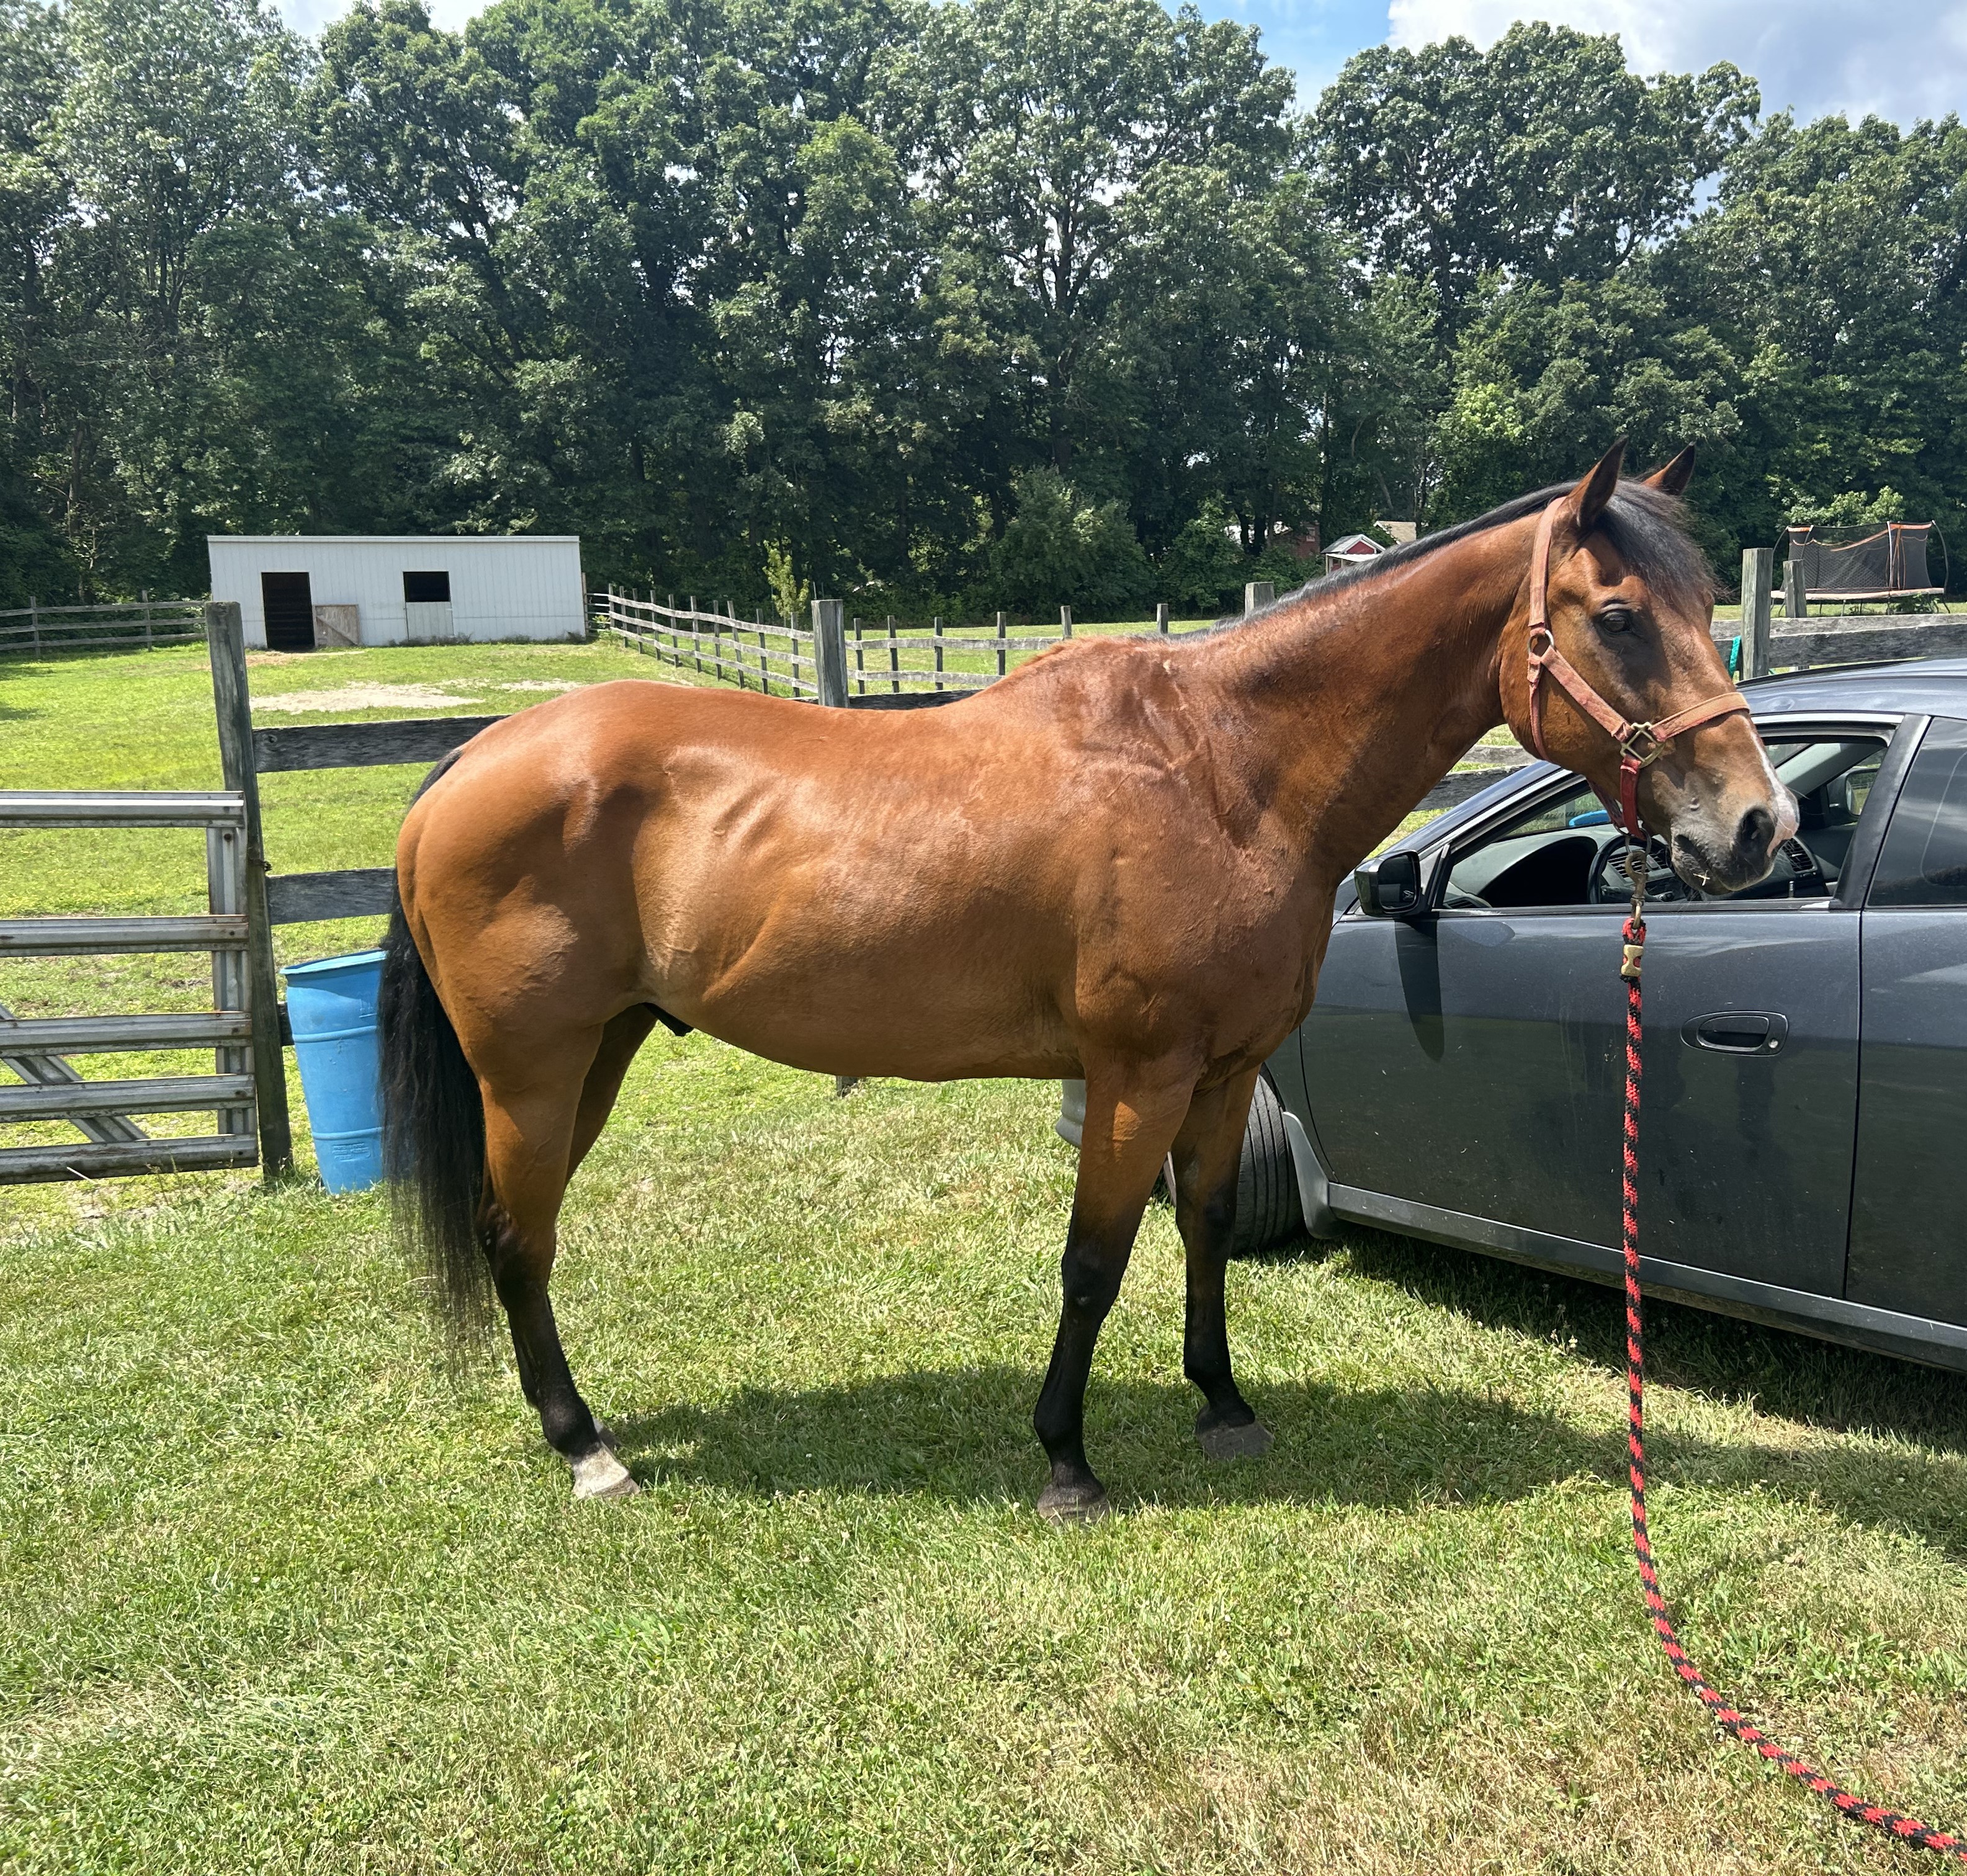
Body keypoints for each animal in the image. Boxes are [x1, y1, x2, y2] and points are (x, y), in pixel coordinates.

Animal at [378, 442, 1795, 1518]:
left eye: (1706, 608)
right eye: (1619, 616)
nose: (1757, 827)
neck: (1221, 767)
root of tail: (475, 758)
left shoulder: (1224, 1076)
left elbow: (1206, 1229)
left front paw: (1222, 1402)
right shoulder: (1136, 1074)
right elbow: (1091, 1261)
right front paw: (1066, 1458)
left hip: (602, 1053)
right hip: (533, 1074)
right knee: (519, 1239)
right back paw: (586, 1446)